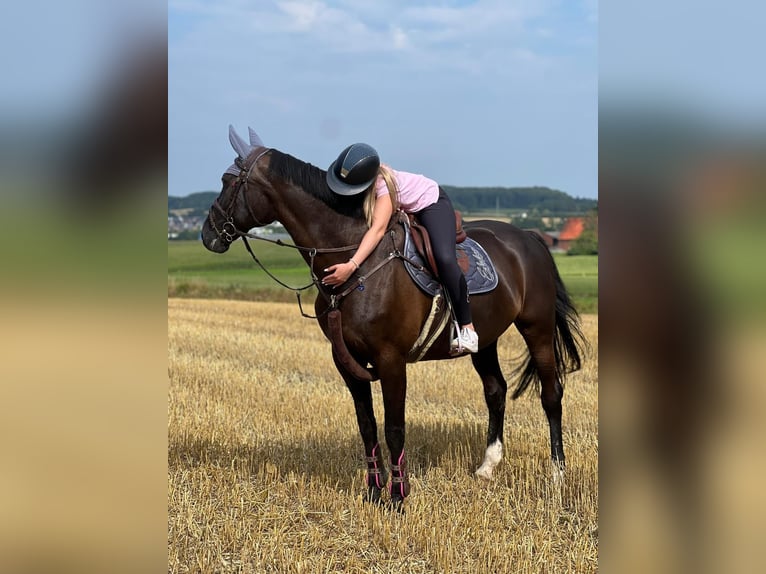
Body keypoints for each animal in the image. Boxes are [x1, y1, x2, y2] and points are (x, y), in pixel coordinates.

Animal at [201, 127, 584, 508]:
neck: (356, 260)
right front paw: (373, 491)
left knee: (551, 394)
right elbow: (367, 425)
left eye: (226, 181)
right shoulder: (346, 361)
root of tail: (529, 238)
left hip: (537, 327)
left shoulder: (391, 359)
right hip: (486, 339)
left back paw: (557, 474)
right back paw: (487, 467)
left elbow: (394, 428)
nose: (207, 234)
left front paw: (398, 496)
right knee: (496, 391)